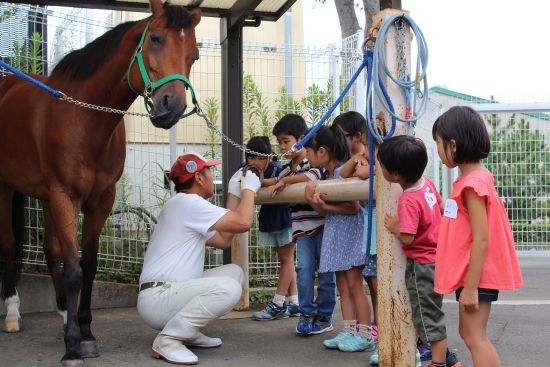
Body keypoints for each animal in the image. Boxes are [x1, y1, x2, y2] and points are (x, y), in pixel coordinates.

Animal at [0, 1, 202, 366]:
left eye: (193, 55)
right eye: (155, 38)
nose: (172, 106)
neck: (85, 118)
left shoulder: (100, 199)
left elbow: (89, 265)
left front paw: (85, 333)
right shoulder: (65, 195)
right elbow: (74, 270)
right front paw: (72, 347)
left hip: (45, 196)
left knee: (50, 251)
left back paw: (63, 313)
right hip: (7, 188)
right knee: (9, 244)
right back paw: (12, 313)